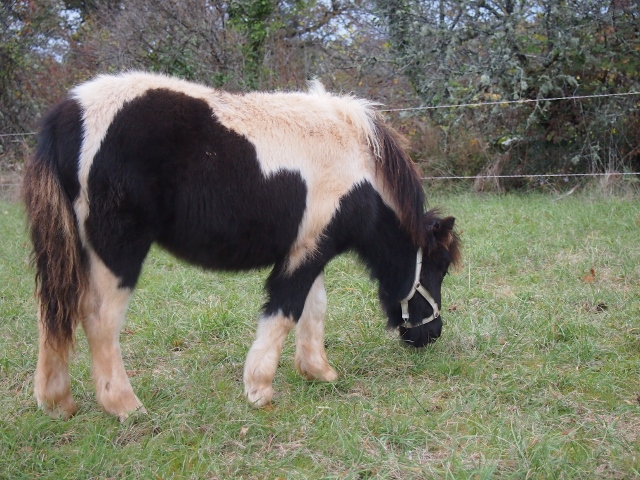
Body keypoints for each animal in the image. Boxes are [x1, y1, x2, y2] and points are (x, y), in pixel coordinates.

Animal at [23, 72, 461, 421]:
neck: (358, 169)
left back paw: (57, 402)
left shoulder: (309, 248)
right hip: (117, 251)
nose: (430, 334)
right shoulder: (305, 254)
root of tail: (68, 115)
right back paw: (125, 406)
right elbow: (284, 311)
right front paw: (260, 388)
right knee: (98, 318)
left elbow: (313, 308)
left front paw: (318, 371)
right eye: (437, 267)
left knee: (54, 310)